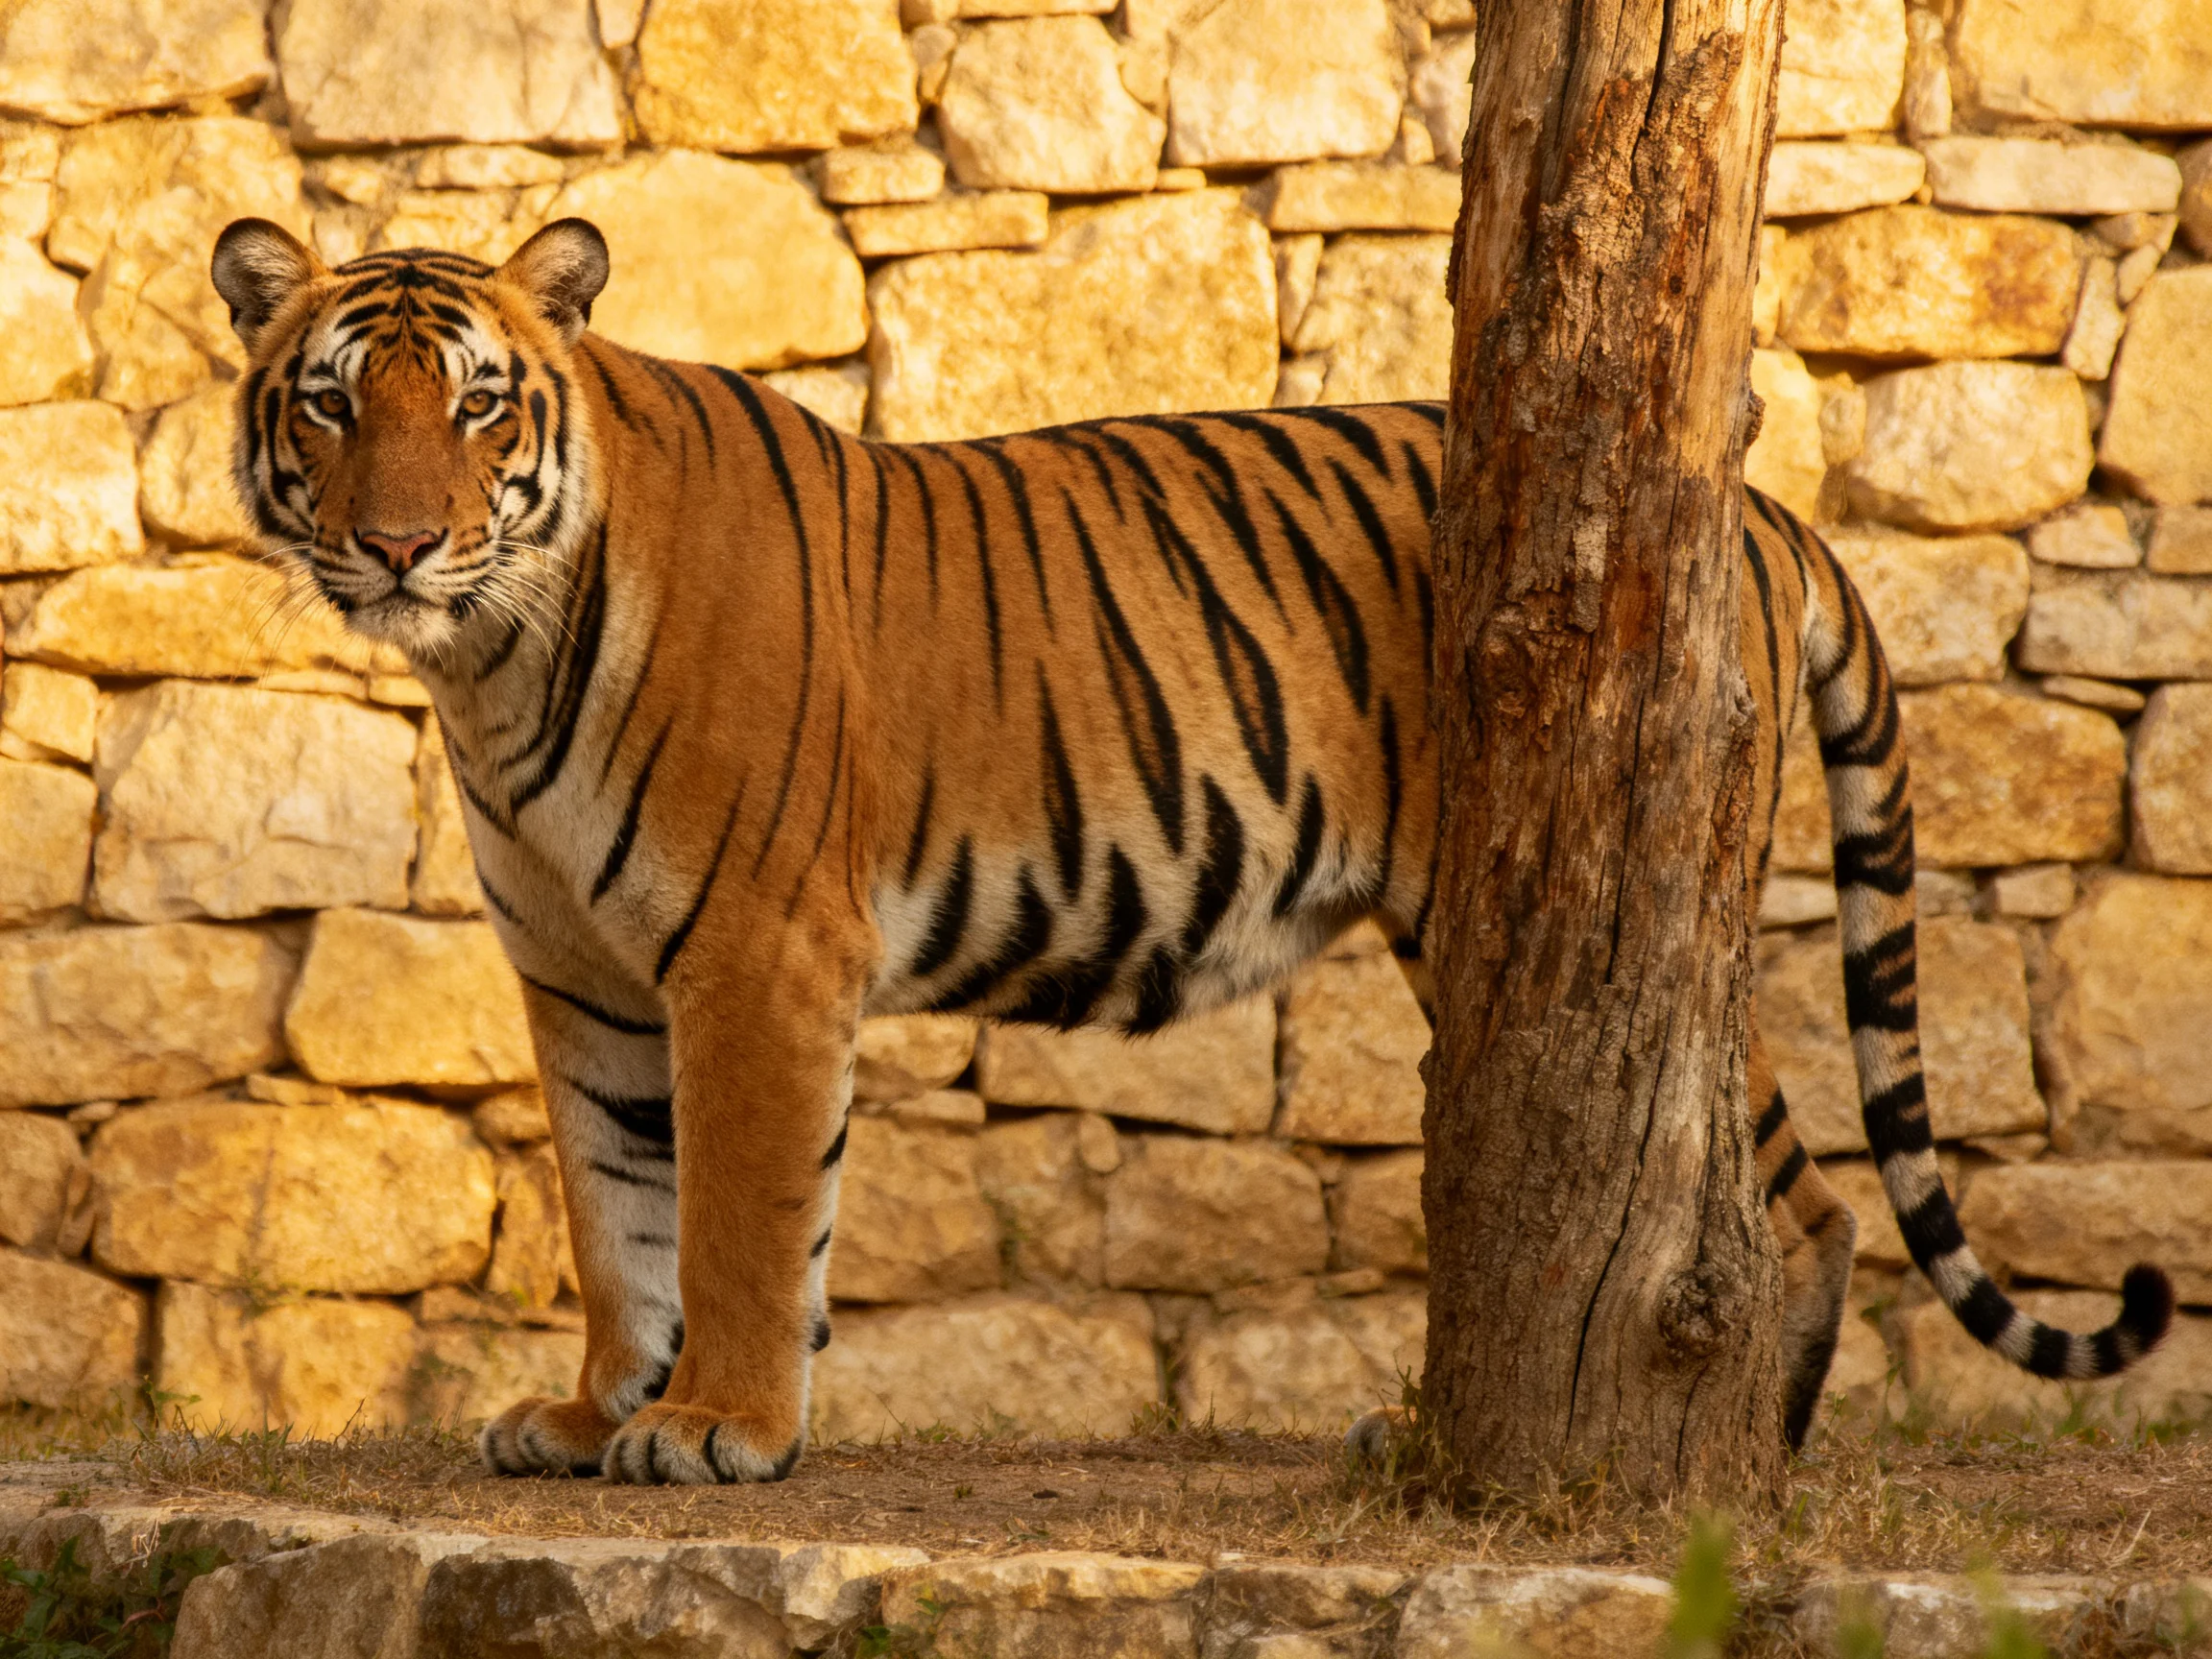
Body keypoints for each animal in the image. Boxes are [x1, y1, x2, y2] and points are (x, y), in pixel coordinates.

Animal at [208, 213, 2173, 1485]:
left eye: (476, 405)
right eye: (332, 402)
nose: (399, 545)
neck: (495, 660)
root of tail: (1753, 500)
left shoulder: (754, 957)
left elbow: (741, 1220)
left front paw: (717, 1430)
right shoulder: (585, 975)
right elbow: (614, 1209)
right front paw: (597, 1412)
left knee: (1794, 1196)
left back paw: (1734, 1453)